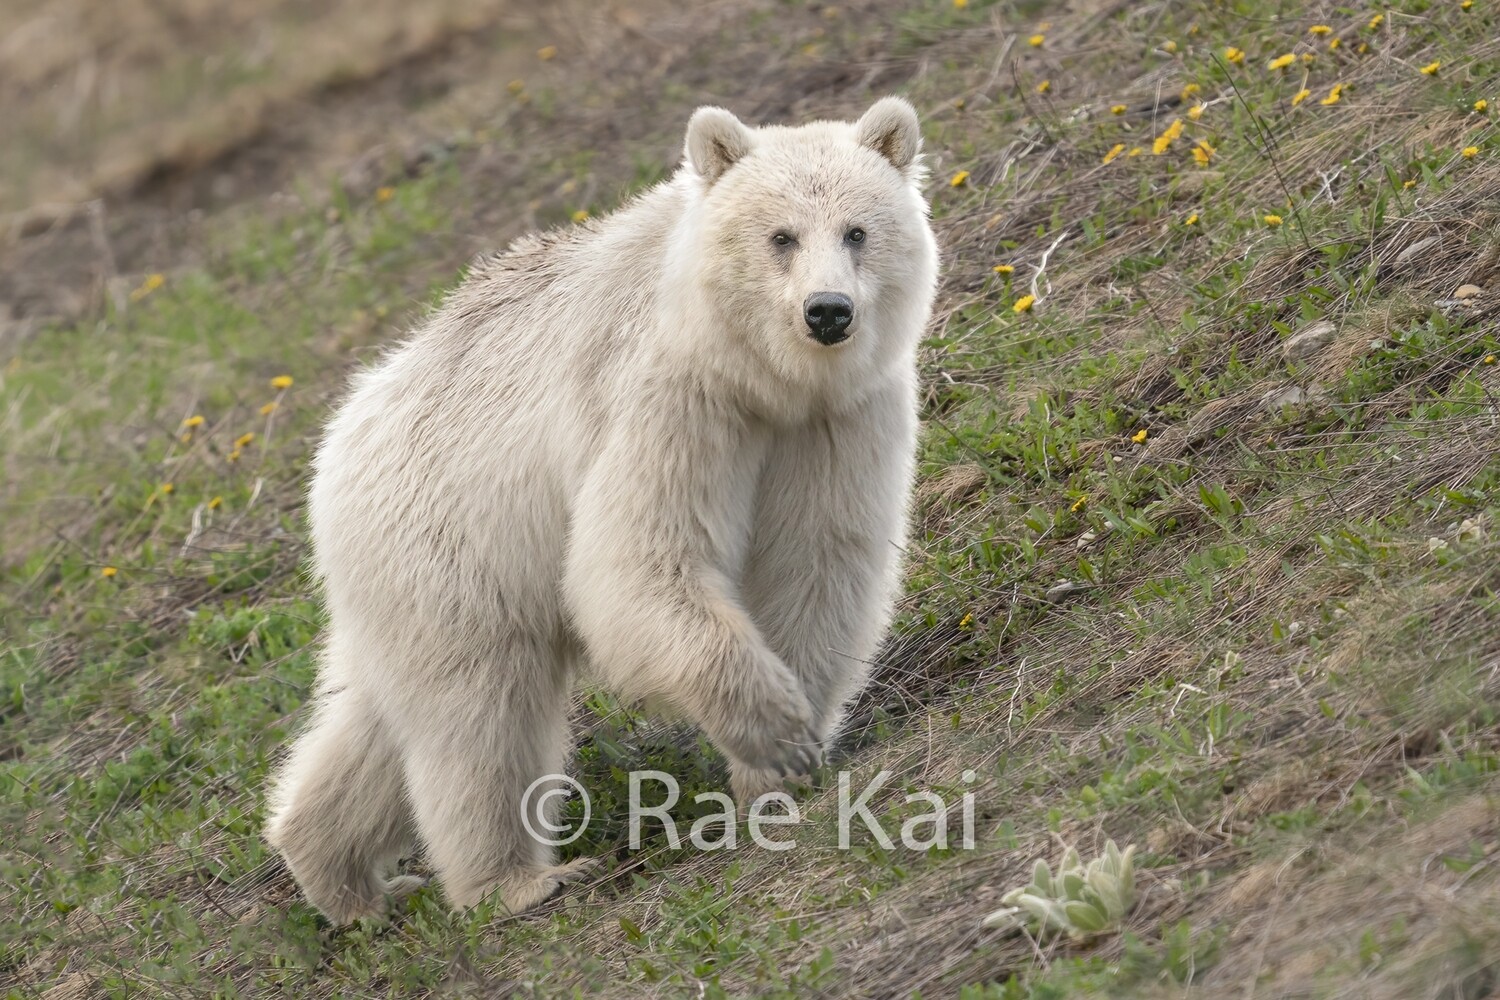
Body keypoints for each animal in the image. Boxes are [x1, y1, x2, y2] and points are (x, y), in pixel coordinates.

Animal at [263, 96, 940, 923]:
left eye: (858, 231)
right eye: (781, 236)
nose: (828, 313)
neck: (759, 378)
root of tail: (341, 435)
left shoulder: (833, 421)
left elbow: (816, 560)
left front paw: (785, 765)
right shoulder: (667, 399)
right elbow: (637, 564)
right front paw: (776, 733)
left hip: (406, 577)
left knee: (378, 713)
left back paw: (342, 876)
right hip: (449, 535)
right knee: (481, 710)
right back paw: (517, 881)